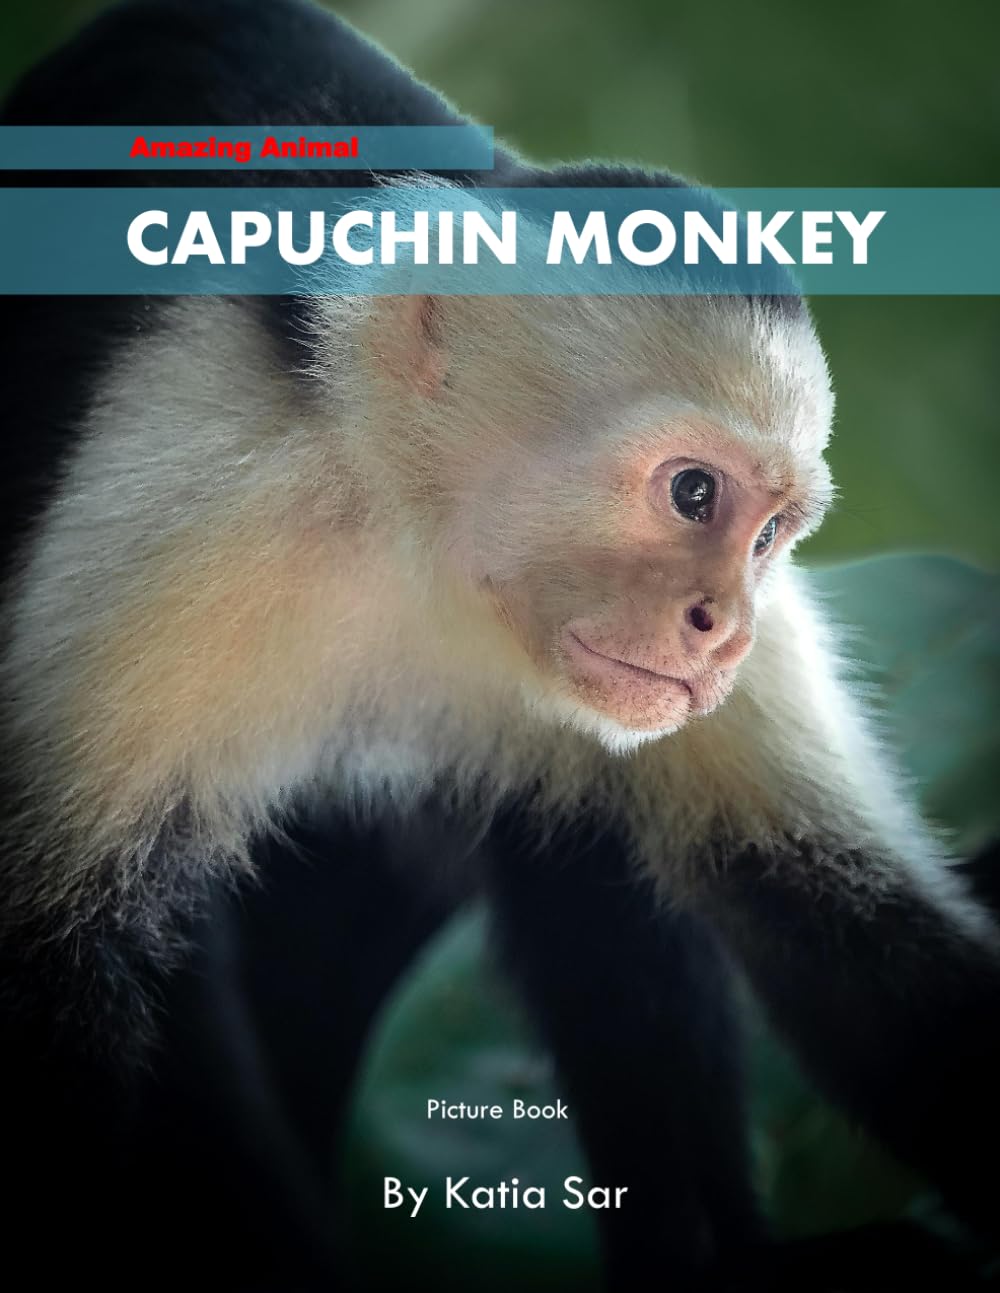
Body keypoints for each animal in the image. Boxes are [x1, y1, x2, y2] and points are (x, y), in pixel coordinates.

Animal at [0, 1, 998, 1290]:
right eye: (691, 494)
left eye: (771, 533)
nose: (722, 631)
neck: (419, 549)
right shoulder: (196, 497)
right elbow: (53, 955)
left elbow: (864, 952)